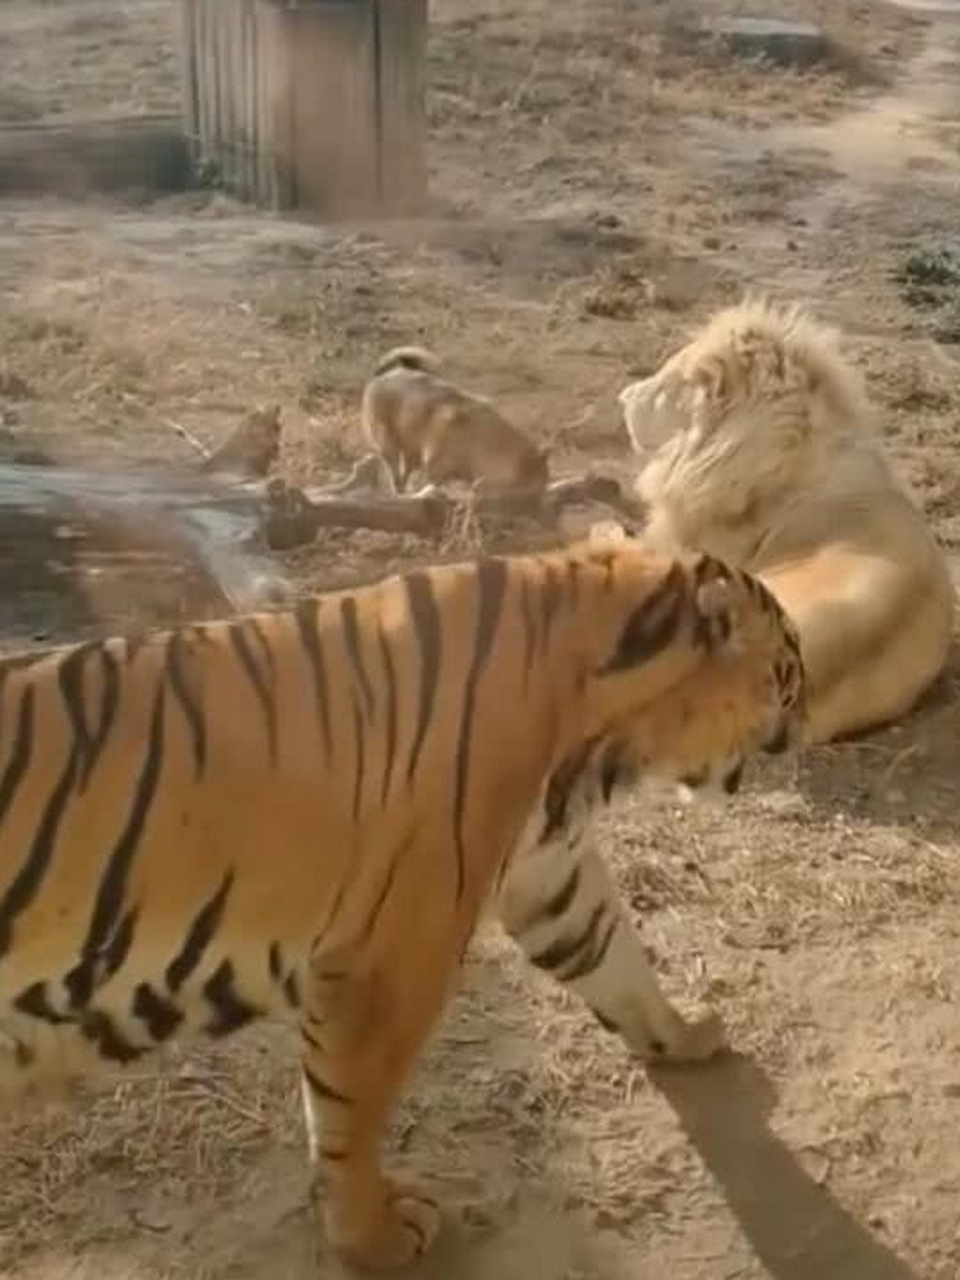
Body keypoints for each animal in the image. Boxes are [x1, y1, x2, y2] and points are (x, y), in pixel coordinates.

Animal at [0, 535, 804, 1270]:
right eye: (789, 675)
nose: (796, 736)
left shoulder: (549, 871)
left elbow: (615, 958)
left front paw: (685, 1034)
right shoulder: (387, 959)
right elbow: (349, 1113)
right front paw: (374, 1237)